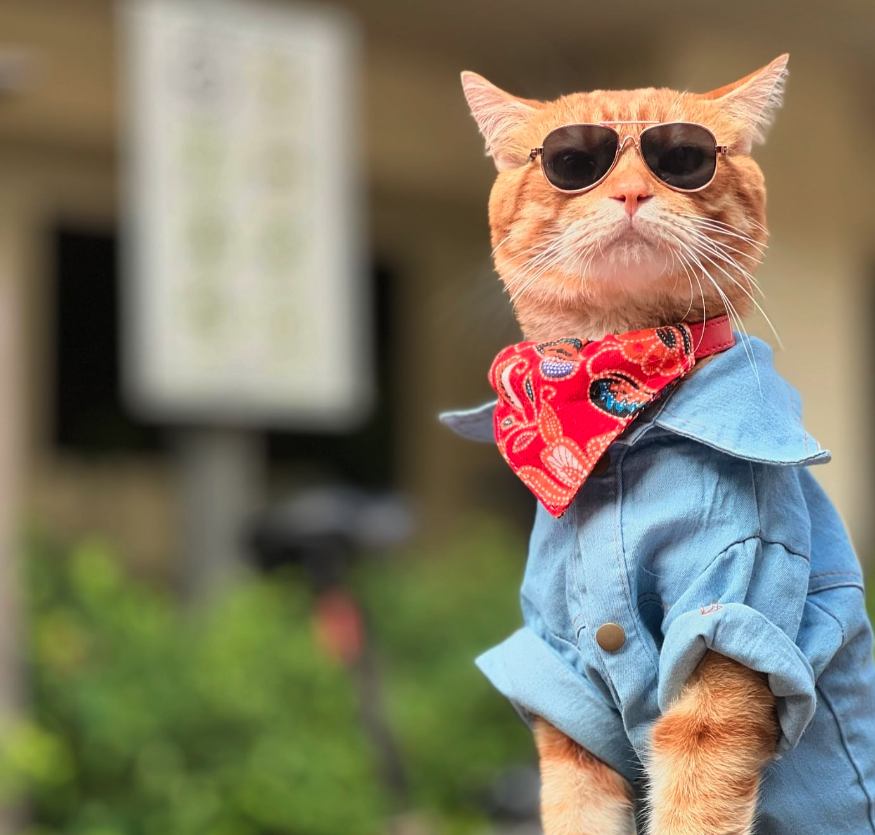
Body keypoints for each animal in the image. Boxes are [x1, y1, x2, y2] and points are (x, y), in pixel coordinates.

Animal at [462, 57, 792, 835]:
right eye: (571, 162)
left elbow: (695, 802)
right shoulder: (564, 682)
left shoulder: (729, 619)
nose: (632, 191)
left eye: (685, 158)